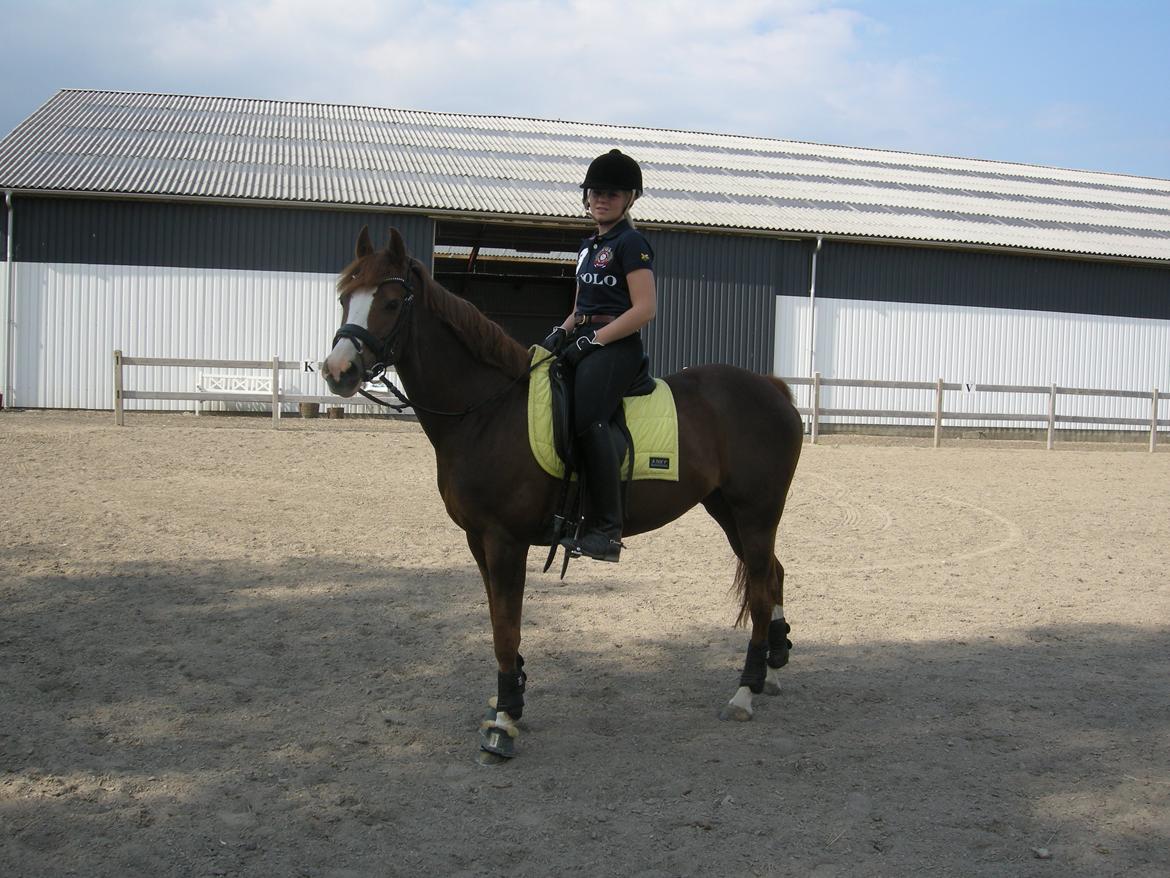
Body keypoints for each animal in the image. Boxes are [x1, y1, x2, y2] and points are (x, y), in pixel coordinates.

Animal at [322, 226, 803, 763]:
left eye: (388, 302)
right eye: (345, 298)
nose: (337, 371)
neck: (487, 411)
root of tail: (771, 387)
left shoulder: (504, 541)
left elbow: (505, 626)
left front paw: (503, 724)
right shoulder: (478, 541)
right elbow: (498, 619)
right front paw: (510, 699)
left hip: (756, 513)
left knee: (760, 590)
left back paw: (745, 690)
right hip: (728, 511)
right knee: (773, 576)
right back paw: (772, 667)